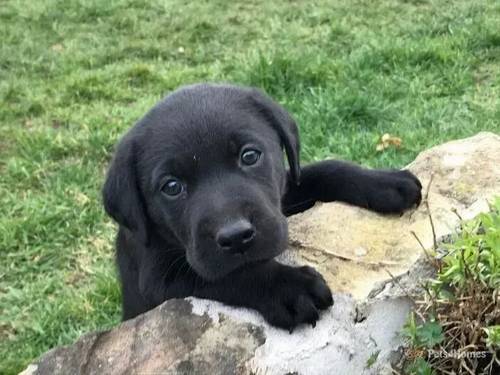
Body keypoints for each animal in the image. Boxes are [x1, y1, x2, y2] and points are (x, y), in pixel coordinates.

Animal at [102, 83, 422, 330]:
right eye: (171, 187)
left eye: (250, 155)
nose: (236, 237)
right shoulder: (158, 280)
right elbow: (232, 274)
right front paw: (289, 288)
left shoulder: (283, 196)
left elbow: (324, 169)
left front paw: (384, 181)